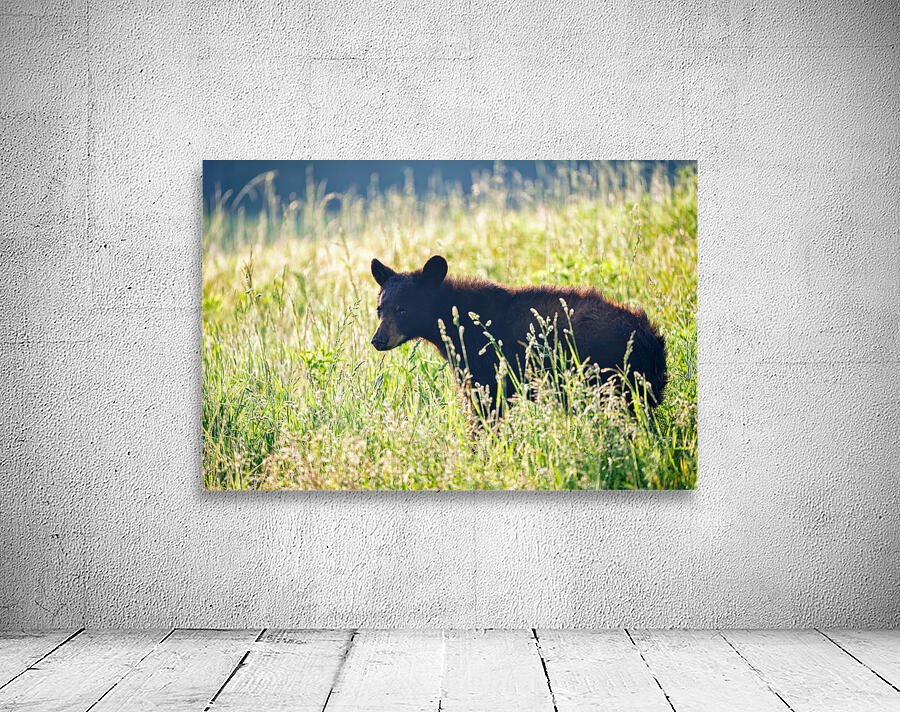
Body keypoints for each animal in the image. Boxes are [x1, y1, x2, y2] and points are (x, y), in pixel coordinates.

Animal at [370, 254, 667, 415]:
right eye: (379, 308)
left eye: (403, 309)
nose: (378, 340)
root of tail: (650, 339)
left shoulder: (488, 368)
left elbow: (485, 411)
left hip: (613, 379)